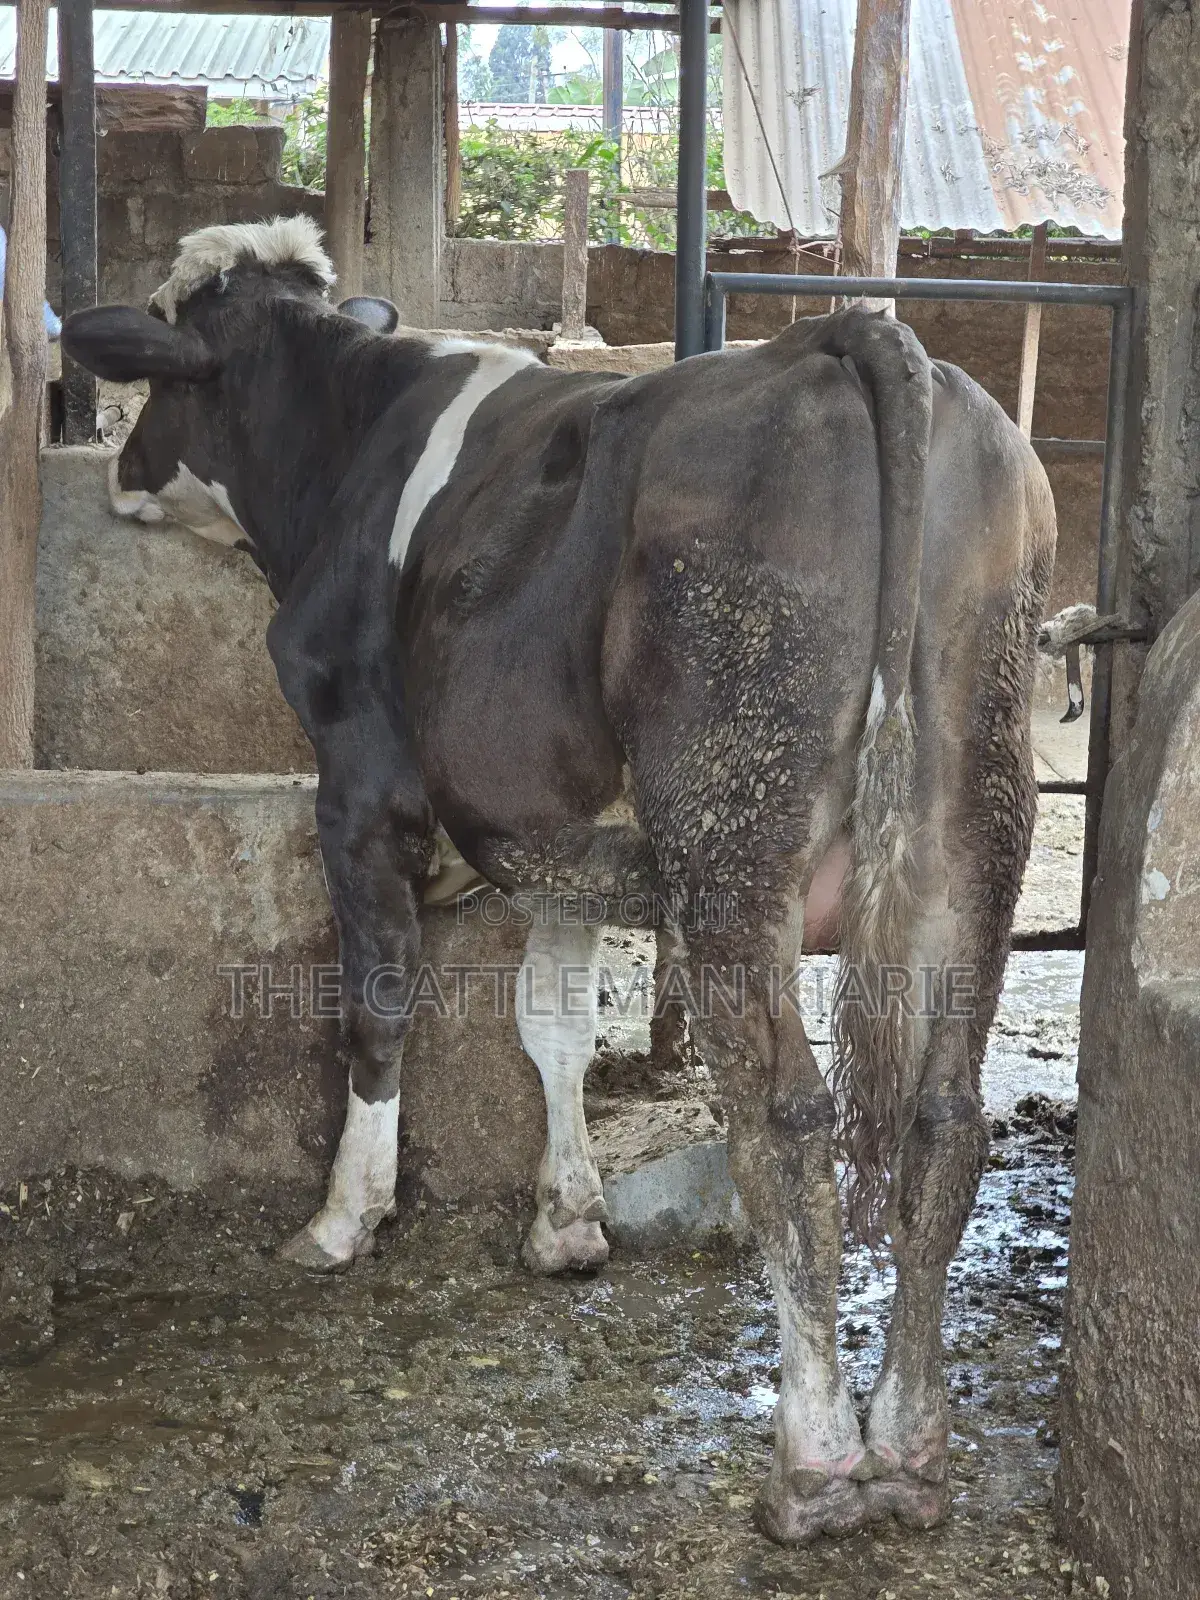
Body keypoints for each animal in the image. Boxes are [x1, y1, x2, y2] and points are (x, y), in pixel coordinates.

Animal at [63, 216, 1055, 1545]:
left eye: (167, 366)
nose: (118, 467)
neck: (350, 446)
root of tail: (848, 337)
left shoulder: (359, 784)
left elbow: (379, 1005)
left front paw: (343, 1216)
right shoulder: (560, 846)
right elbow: (555, 1024)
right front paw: (567, 1222)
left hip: (731, 838)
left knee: (789, 1118)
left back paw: (816, 1460)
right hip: (976, 836)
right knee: (945, 1118)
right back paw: (910, 1449)